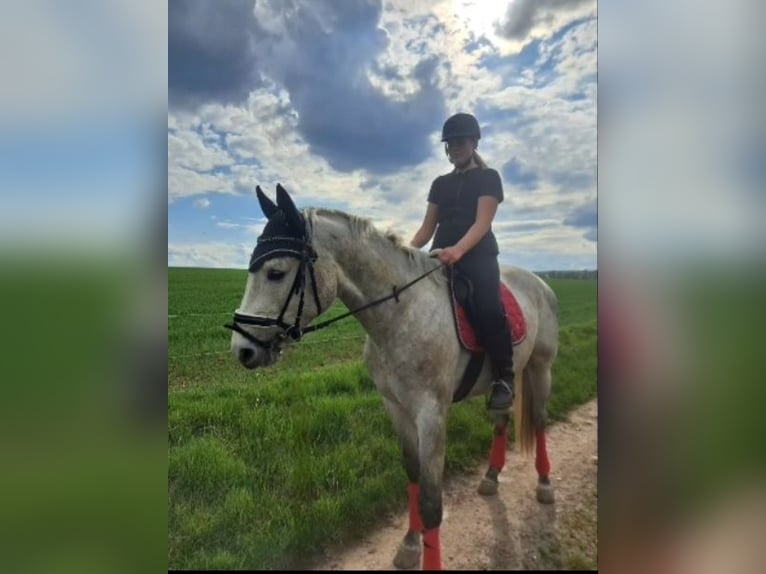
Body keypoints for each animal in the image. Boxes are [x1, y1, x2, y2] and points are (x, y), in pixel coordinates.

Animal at [227, 184, 559, 570]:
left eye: (276, 273)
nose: (243, 350)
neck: (401, 313)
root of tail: (540, 282)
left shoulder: (432, 414)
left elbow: (431, 501)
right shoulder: (396, 406)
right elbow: (412, 475)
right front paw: (410, 546)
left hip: (540, 368)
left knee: (539, 420)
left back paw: (545, 484)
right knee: (501, 418)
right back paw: (491, 478)